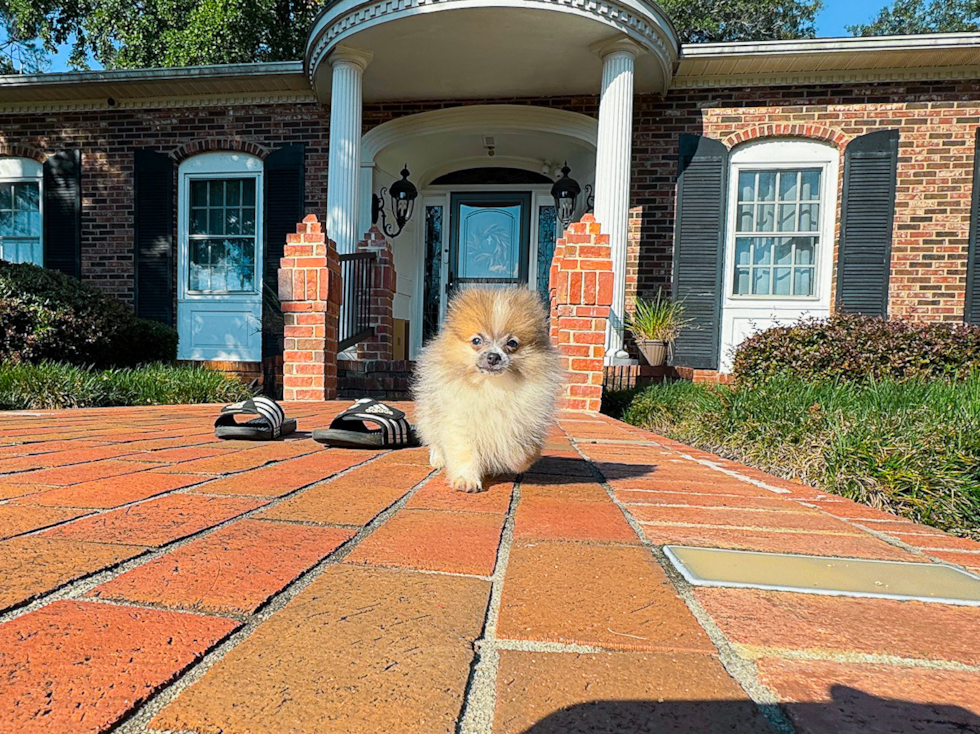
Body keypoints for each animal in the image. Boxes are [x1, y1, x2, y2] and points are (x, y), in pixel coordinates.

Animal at [414, 288, 568, 494]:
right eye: (477, 340)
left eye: (512, 343)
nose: (494, 357)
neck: (492, 387)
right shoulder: (459, 422)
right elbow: (465, 453)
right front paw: (466, 480)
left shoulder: (524, 421)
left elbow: (521, 450)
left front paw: (512, 461)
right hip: (429, 415)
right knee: (434, 439)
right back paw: (438, 458)